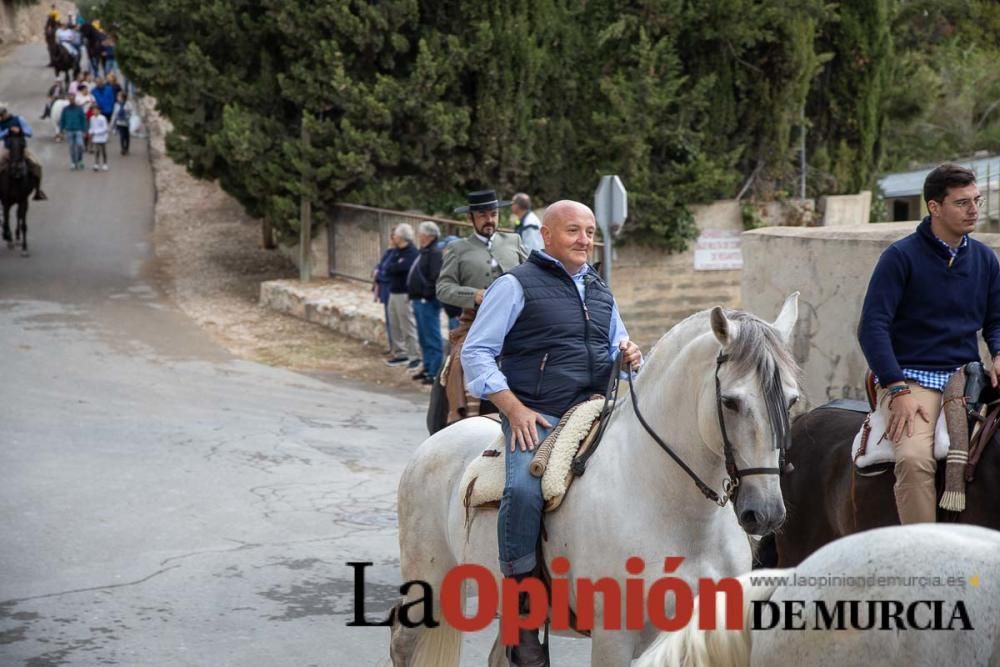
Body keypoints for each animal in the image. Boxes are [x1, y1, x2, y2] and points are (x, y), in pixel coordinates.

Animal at [394, 298, 800, 667]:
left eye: (793, 400)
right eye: (730, 401)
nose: (765, 513)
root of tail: (431, 445)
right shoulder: (613, 640)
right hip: (429, 587)